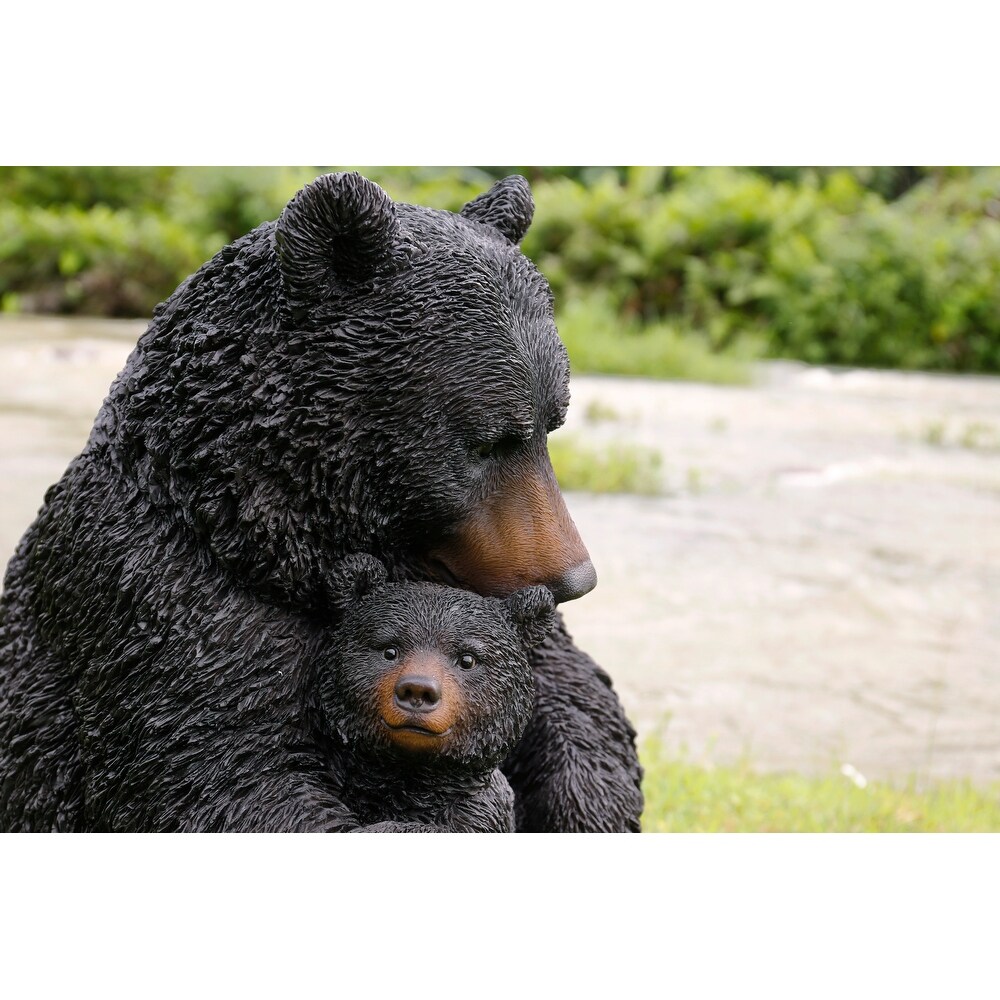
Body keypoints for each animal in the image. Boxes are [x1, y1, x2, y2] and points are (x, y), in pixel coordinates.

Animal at [0, 174, 640, 836]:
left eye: (551, 424)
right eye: (489, 441)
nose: (575, 578)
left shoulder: (484, 590)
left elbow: (574, 698)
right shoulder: (154, 597)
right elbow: (227, 783)